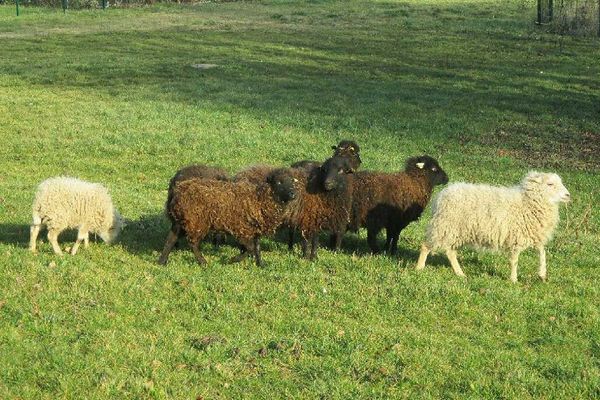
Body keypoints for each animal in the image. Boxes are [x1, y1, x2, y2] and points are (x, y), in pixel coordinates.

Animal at [158, 167, 298, 268]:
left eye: (292, 181)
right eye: (278, 182)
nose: (293, 194)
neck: (259, 198)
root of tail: (177, 190)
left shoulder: (255, 228)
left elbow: (256, 248)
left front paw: (261, 264)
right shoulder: (241, 228)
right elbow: (250, 249)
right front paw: (233, 260)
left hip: (180, 221)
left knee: (171, 239)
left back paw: (162, 262)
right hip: (196, 221)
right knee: (193, 243)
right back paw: (203, 262)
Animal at [414, 171, 568, 282]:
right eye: (550, 184)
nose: (568, 195)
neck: (527, 203)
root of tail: (440, 197)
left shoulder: (533, 234)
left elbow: (542, 252)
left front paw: (542, 274)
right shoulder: (516, 237)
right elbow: (514, 260)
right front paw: (513, 280)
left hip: (455, 230)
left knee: (450, 252)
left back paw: (460, 273)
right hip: (444, 226)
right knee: (426, 245)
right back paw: (419, 268)